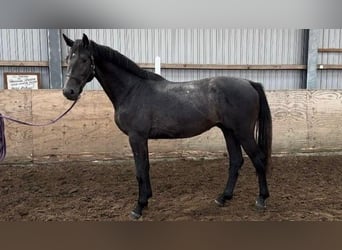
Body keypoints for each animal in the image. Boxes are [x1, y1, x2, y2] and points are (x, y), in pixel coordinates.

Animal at [61, 33, 272, 219]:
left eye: (84, 60)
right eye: (68, 58)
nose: (68, 92)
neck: (132, 90)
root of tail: (249, 83)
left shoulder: (136, 137)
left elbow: (140, 170)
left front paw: (138, 207)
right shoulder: (141, 139)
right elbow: (145, 167)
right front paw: (146, 199)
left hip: (243, 132)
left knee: (258, 159)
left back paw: (261, 199)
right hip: (229, 131)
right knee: (236, 161)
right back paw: (223, 198)